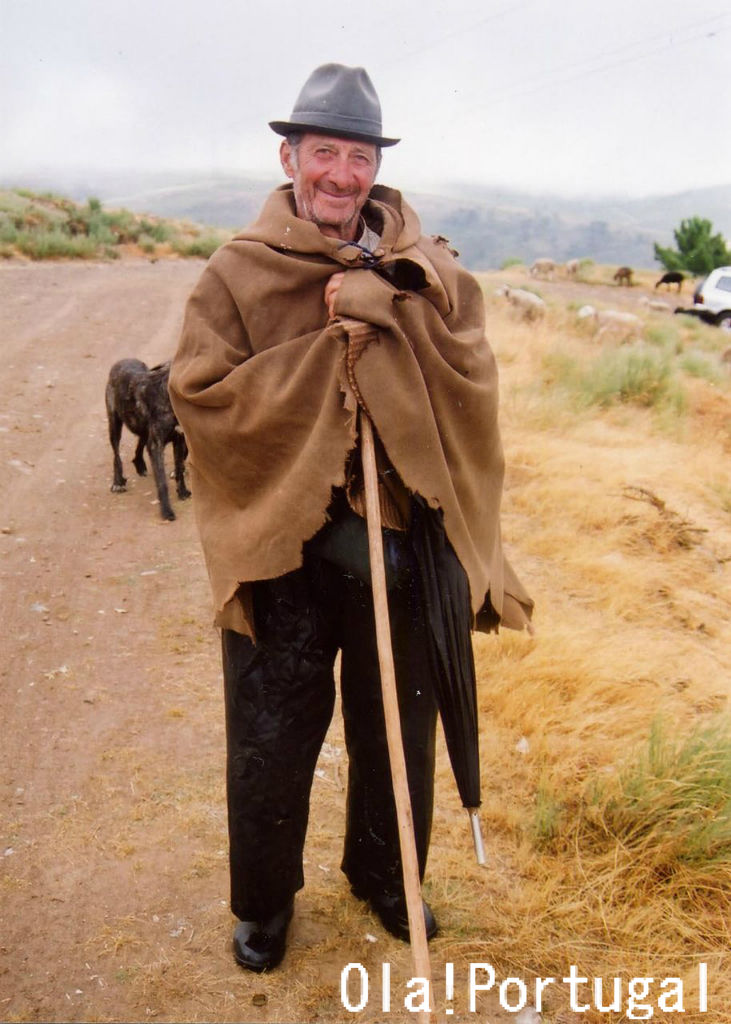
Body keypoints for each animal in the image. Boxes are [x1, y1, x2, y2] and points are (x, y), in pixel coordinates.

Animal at [106, 360, 190, 520]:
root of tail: (120, 362)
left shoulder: (179, 440)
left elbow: (179, 469)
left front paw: (182, 492)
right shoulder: (156, 445)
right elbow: (162, 481)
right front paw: (166, 510)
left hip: (143, 429)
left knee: (140, 443)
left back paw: (139, 464)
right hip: (114, 425)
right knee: (116, 455)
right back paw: (118, 482)